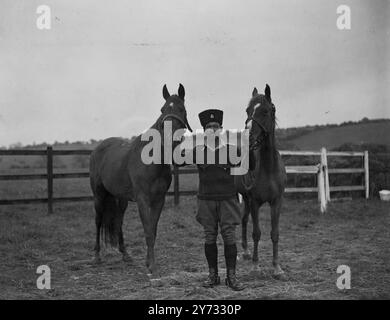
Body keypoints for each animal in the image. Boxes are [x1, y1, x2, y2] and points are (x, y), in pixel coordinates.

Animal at [88, 84, 192, 274]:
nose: (169, 139)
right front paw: (151, 265)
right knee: (98, 221)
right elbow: (148, 230)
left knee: (118, 222)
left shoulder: (159, 200)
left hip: (121, 198)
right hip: (99, 195)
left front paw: (148, 262)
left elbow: (153, 230)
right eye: (162, 109)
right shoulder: (143, 199)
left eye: (182, 109)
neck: (152, 159)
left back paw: (125, 255)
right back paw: (97, 256)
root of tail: (98, 148)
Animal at [235, 84, 286, 278]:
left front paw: (277, 268)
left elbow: (275, 233)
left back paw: (246, 252)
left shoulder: (276, 202)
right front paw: (256, 266)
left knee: (243, 220)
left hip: (246, 199)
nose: (247, 137)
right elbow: (256, 233)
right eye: (247, 110)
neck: (268, 168)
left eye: (265, 111)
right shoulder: (256, 202)